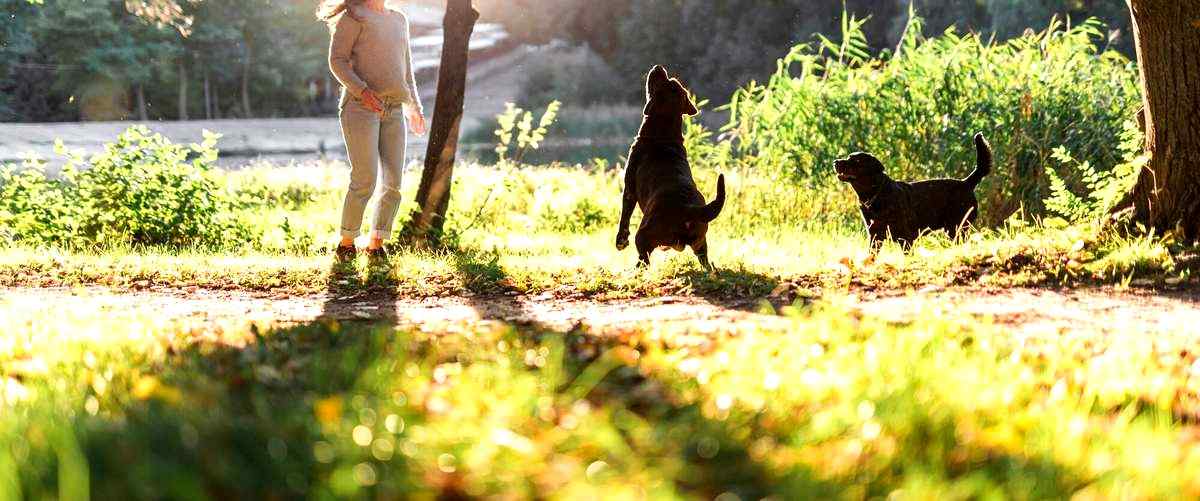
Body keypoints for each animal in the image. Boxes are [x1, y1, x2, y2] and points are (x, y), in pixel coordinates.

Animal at [614, 67, 724, 269]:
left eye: (663, 81)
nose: (659, 67)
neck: (663, 134)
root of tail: (689, 209)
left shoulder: (629, 189)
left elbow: (624, 215)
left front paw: (621, 241)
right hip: (701, 240)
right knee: (705, 260)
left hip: (644, 233)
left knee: (644, 258)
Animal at [835, 133, 993, 250]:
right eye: (848, 157)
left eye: (856, 161)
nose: (835, 162)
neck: (876, 195)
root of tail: (966, 182)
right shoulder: (875, 237)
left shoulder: (906, 238)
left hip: (957, 229)